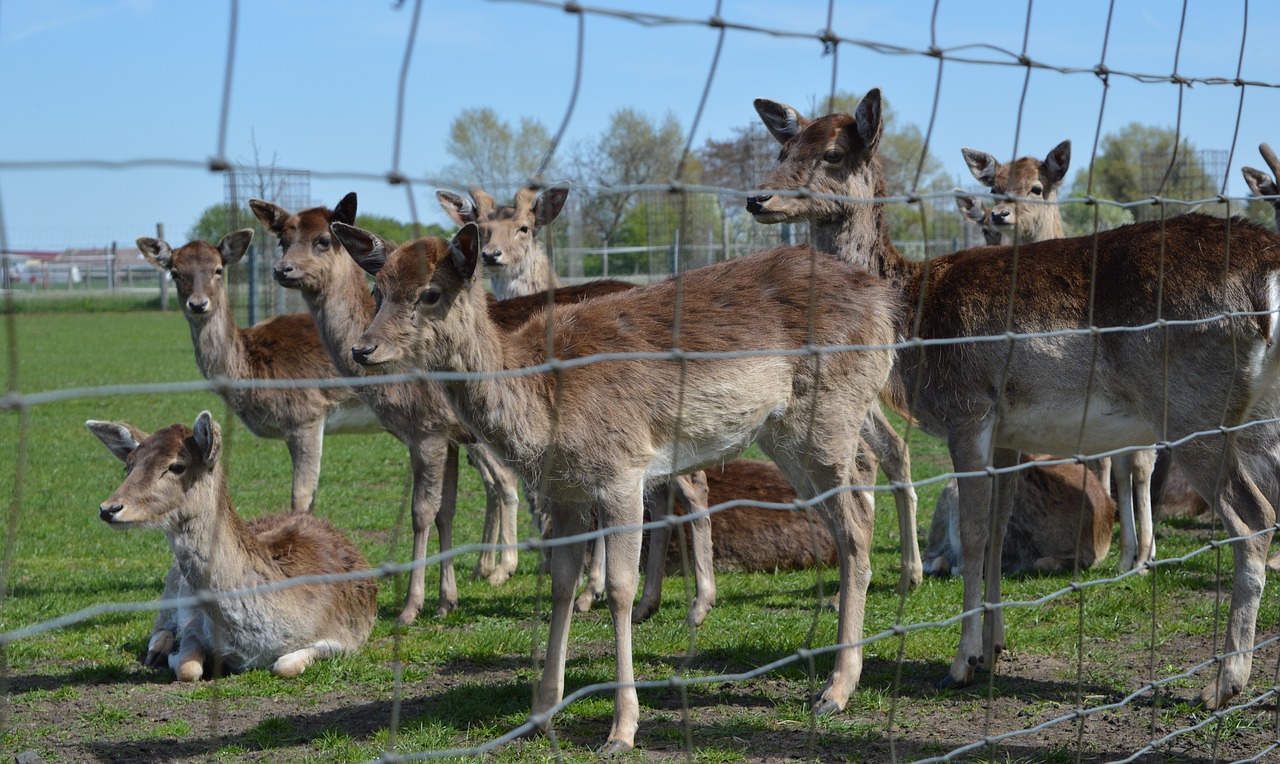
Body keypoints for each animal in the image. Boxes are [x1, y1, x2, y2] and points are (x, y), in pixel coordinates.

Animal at [84, 412, 373, 680]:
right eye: (128, 466)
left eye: (177, 466)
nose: (108, 508)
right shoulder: (193, 624)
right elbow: (188, 668)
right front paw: (174, 654)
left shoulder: (345, 636)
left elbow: (286, 665)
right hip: (171, 584)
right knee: (159, 625)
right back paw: (158, 650)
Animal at [247, 193, 522, 621]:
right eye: (283, 239)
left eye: (323, 240)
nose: (283, 270)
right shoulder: (448, 436)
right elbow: (446, 510)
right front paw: (447, 601)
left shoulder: (427, 430)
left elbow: (421, 512)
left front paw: (411, 605)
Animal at [335, 220, 901, 752]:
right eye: (378, 289)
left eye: (431, 293)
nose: (363, 349)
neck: (540, 399)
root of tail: (886, 302)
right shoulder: (563, 492)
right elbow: (561, 583)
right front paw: (539, 713)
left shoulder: (623, 471)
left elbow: (619, 588)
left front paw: (622, 729)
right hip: (787, 433)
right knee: (860, 500)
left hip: (825, 416)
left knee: (856, 522)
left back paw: (836, 689)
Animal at [747, 90, 1280, 711]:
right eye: (783, 148)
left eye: (833, 153)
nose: (758, 197)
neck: (910, 319)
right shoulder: (1008, 435)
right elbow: (1000, 532)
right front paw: (994, 648)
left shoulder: (968, 411)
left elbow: (976, 535)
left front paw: (960, 663)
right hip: (1255, 412)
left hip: (1195, 410)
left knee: (1252, 517)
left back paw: (1223, 682)